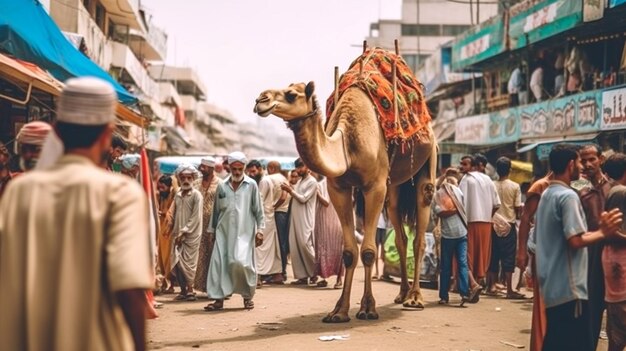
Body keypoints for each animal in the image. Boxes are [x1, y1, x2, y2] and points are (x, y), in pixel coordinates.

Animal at [251, 50, 436, 324]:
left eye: (291, 94)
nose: (260, 100)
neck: (347, 144)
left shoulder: (374, 186)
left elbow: (368, 250)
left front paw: (367, 308)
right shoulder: (338, 188)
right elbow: (349, 252)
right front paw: (338, 311)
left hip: (428, 159)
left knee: (420, 230)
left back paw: (415, 298)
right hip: (394, 186)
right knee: (401, 232)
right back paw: (401, 294)